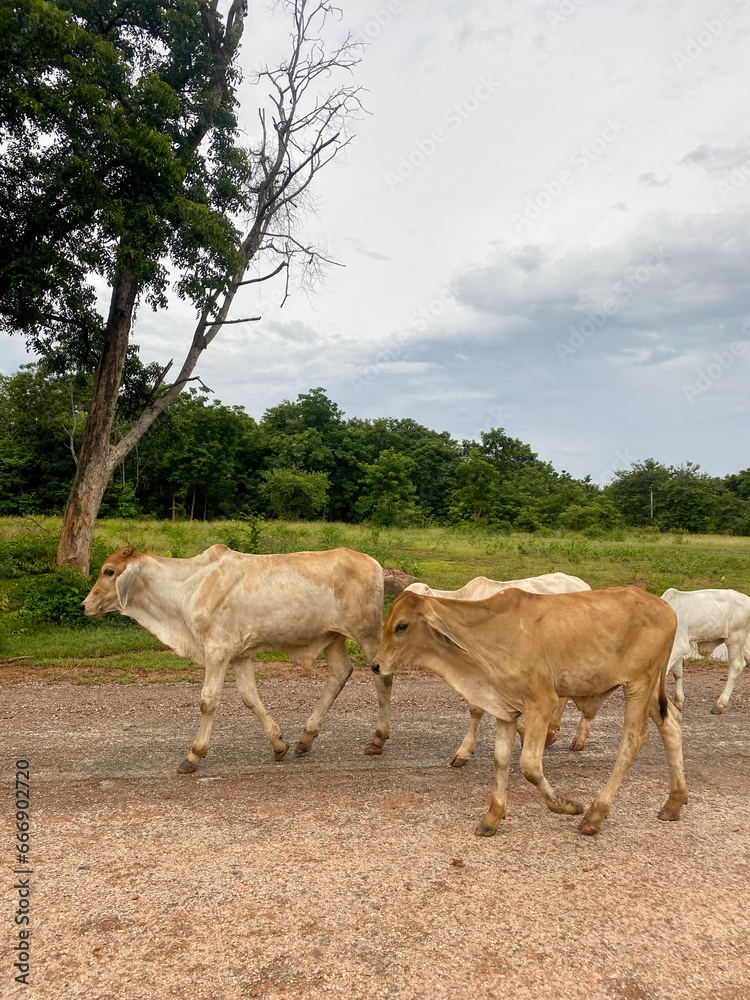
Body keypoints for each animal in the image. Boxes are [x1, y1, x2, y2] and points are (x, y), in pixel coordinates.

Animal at [82, 545, 388, 771]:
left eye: (108, 571)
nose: (85, 605)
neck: (189, 587)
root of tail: (372, 562)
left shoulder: (217, 651)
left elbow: (208, 701)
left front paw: (194, 755)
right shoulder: (240, 655)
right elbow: (250, 697)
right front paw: (278, 743)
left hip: (369, 634)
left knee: (382, 677)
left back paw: (378, 739)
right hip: (333, 637)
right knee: (339, 673)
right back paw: (306, 737)